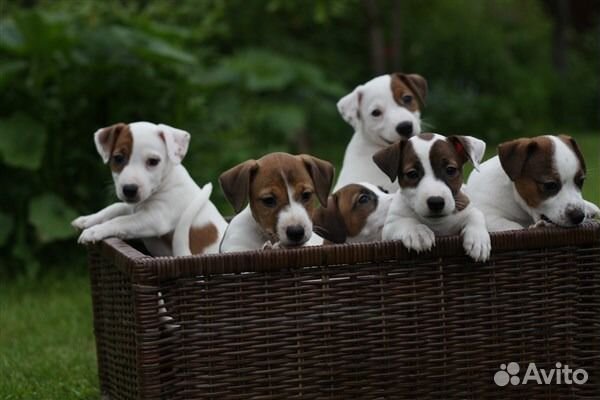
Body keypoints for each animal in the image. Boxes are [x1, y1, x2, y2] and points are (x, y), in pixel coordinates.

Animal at [72, 120, 227, 256]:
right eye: (118, 158)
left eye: (153, 161)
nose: (129, 189)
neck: (165, 182)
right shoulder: (132, 207)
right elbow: (114, 207)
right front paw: (87, 219)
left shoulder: (155, 217)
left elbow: (121, 220)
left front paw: (95, 231)